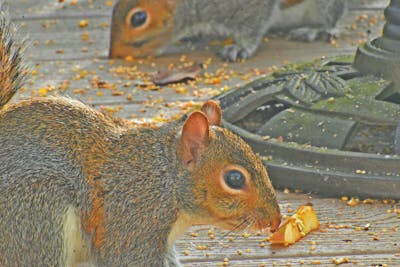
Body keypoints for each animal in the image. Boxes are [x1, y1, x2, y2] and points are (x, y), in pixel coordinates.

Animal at [109, 0, 346, 61]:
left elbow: (252, 27)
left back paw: (319, 30)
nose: (114, 54)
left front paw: (239, 48)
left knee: (333, 14)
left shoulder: (253, 6)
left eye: (138, 18)